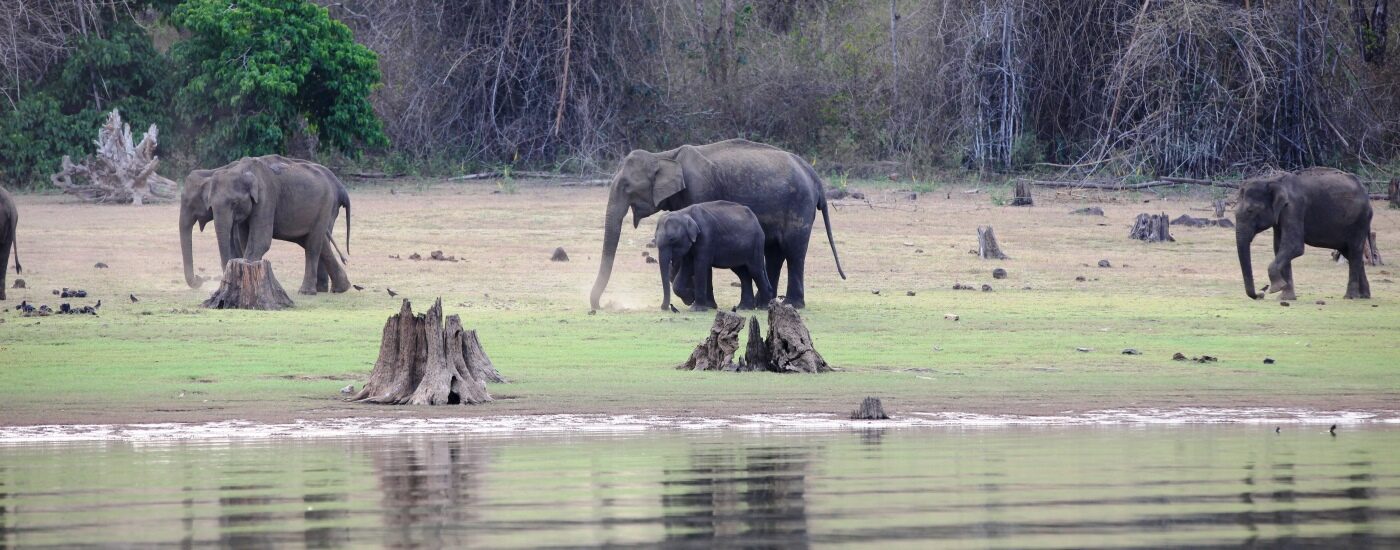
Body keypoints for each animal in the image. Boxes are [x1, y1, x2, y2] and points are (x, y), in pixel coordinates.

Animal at [588, 137, 845, 307]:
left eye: (627, 186)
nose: (598, 307)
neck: (664, 156)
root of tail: (814, 175)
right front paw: (692, 297)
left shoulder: (700, 188)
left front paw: (700, 302)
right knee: (774, 253)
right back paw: (764, 303)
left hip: (800, 205)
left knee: (793, 251)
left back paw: (791, 304)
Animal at [1232, 165, 1372, 299]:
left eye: (1250, 210)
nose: (1261, 294)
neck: (1272, 181)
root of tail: (1365, 192)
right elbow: (1279, 247)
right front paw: (1286, 297)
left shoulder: (1294, 208)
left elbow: (1294, 246)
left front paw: (1276, 288)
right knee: (1350, 253)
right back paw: (1364, 296)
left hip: (1360, 221)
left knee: (1354, 251)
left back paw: (1350, 297)